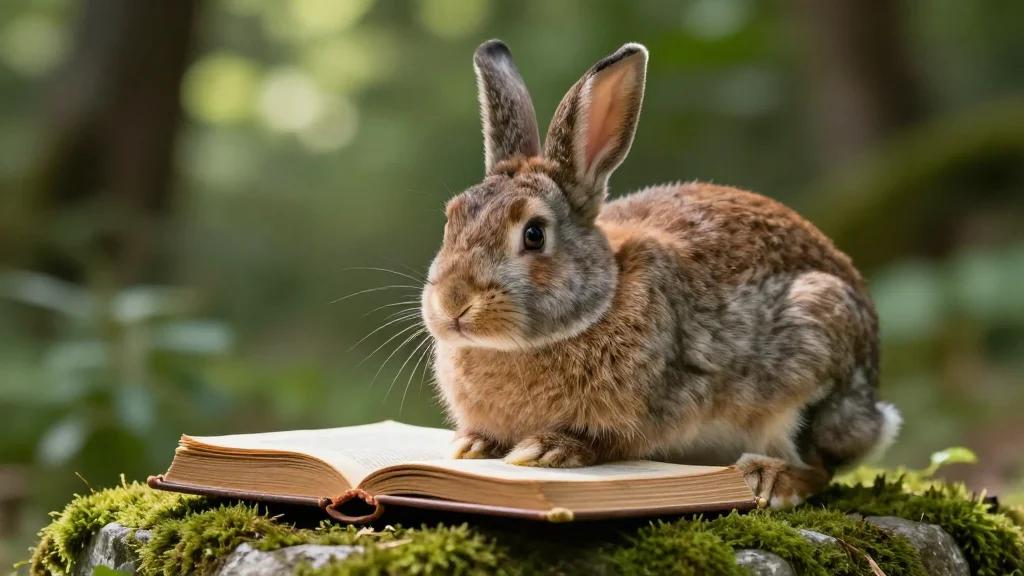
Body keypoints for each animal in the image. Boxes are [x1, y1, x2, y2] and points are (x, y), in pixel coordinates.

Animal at [419, 39, 901, 507]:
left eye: (534, 234)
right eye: (450, 220)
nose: (453, 303)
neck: (600, 300)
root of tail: (873, 416)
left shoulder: (655, 408)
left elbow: (609, 440)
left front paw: (547, 448)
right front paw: (471, 445)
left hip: (815, 356)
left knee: (819, 466)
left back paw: (768, 479)